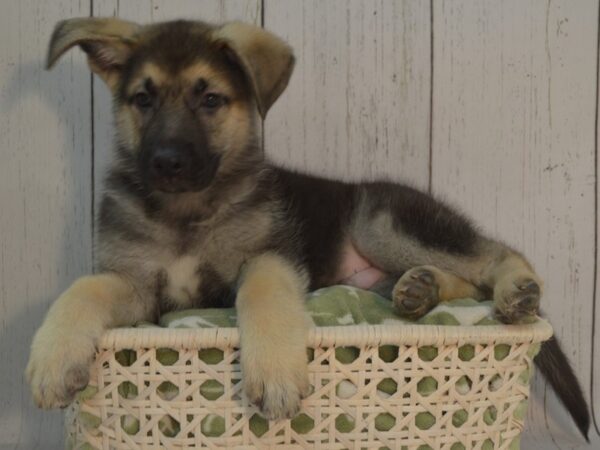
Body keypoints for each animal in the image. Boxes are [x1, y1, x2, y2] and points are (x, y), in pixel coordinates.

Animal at [25, 17, 588, 436]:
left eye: (210, 100)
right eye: (143, 99)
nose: (167, 163)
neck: (188, 209)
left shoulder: (270, 256)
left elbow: (262, 293)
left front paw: (274, 371)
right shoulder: (140, 288)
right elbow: (84, 288)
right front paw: (52, 357)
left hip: (380, 222)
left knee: (494, 256)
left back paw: (516, 289)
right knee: (467, 283)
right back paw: (422, 289)